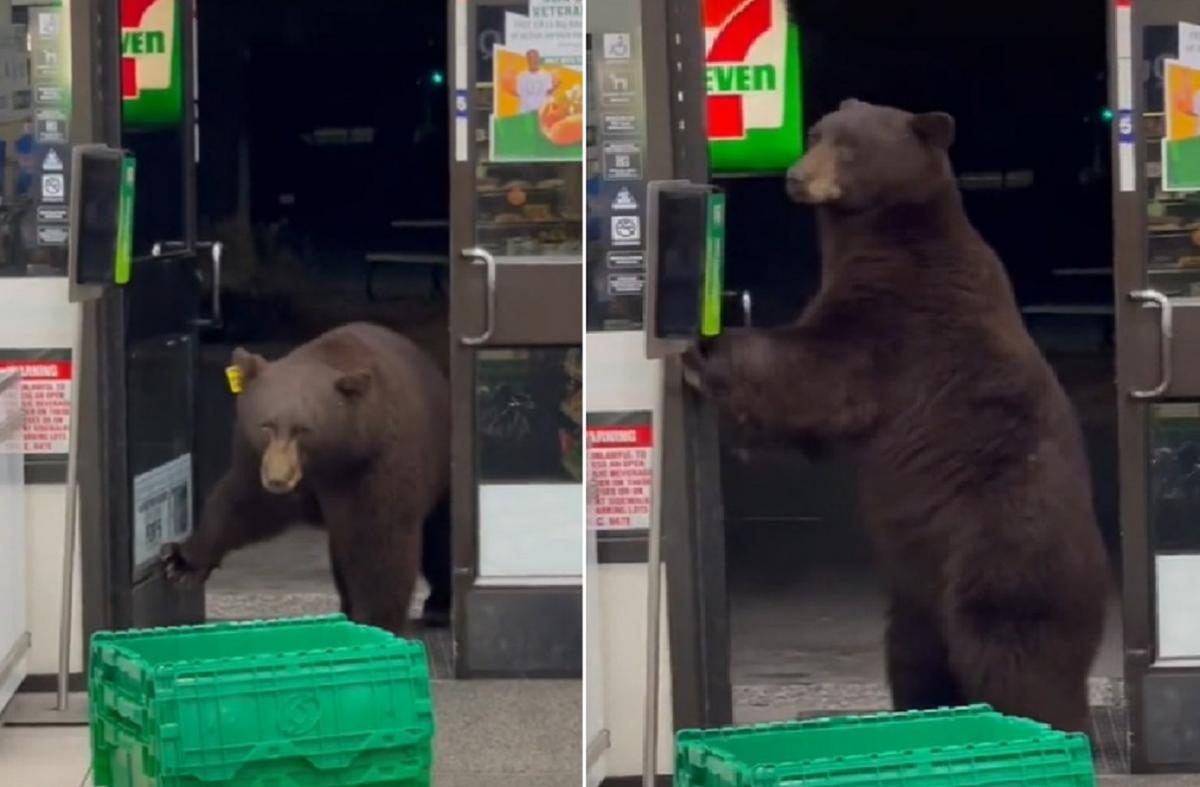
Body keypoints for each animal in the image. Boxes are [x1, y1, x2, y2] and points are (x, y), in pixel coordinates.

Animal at [159, 319, 451, 633]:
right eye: (266, 425)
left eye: (303, 429)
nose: (277, 479)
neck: (332, 459)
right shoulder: (255, 457)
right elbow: (243, 504)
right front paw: (180, 561)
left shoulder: (376, 464)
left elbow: (381, 541)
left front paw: (377, 620)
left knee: (439, 534)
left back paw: (439, 606)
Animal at [691, 101, 1108, 734]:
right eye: (816, 133)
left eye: (850, 147)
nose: (796, 177)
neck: (885, 232)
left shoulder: (902, 316)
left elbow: (822, 370)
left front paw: (705, 349)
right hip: (919, 597)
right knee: (916, 661)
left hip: (1005, 559)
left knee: (1018, 664)